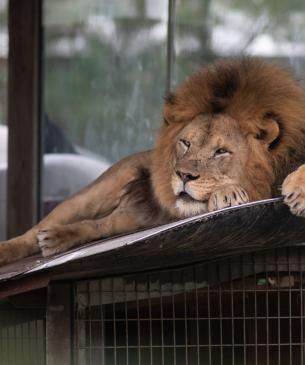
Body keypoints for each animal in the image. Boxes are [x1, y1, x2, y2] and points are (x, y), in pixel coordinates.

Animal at [0, 57, 304, 264]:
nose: (183, 176)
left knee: (100, 225)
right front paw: (228, 194)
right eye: (186, 143)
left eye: (221, 152)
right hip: (97, 191)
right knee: (36, 230)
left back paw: (56, 239)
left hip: (131, 220)